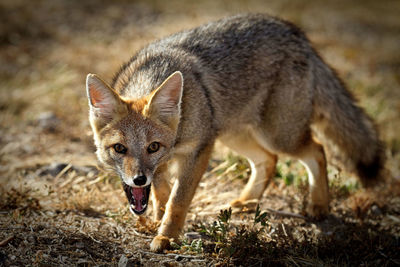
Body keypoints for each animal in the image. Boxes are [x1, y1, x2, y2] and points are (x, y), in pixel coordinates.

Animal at [85, 13, 384, 252]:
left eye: (152, 147)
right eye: (119, 148)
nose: (138, 179)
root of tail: (296, 32)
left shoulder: (199, 150)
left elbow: (178, 200)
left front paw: (167, 237)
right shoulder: (168, 163)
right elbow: (162, 192)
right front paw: (158, 219)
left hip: (278, 136)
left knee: (317, 149)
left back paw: (319, 206)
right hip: (235, 136)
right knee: (269, 160)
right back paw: (247, 202)